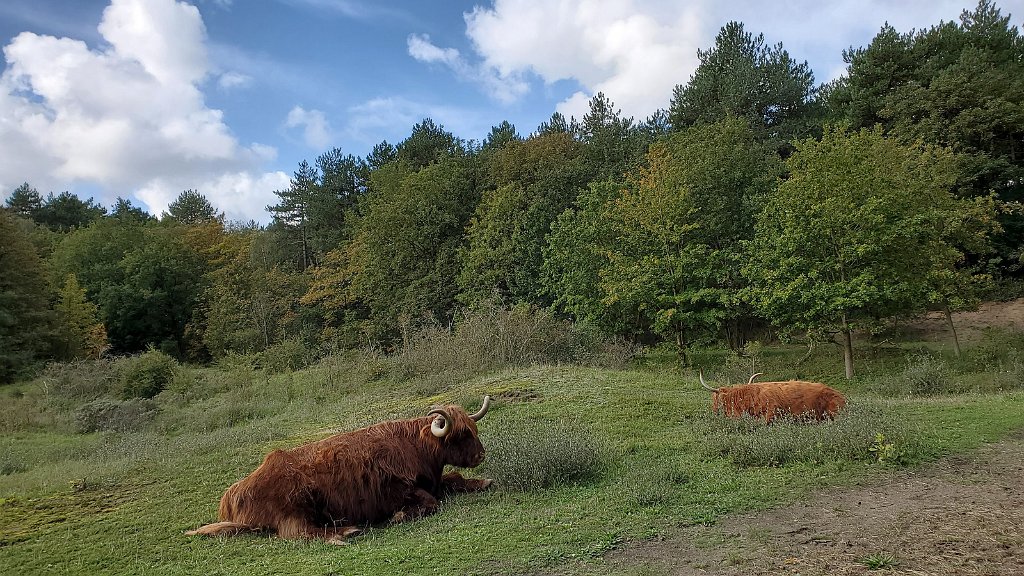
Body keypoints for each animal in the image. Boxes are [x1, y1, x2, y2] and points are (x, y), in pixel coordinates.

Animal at [186, 393, 493, 541]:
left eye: (473, 429)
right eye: (460, 435)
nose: (481, 455)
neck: (415, 447)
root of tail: (234, 493)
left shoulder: (434, 479)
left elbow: (455, 477)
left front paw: (483, 482)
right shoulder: (398, 489)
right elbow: (431, 502)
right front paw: (400, 516)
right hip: (295, 506)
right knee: (296, 532)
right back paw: (344, 533)